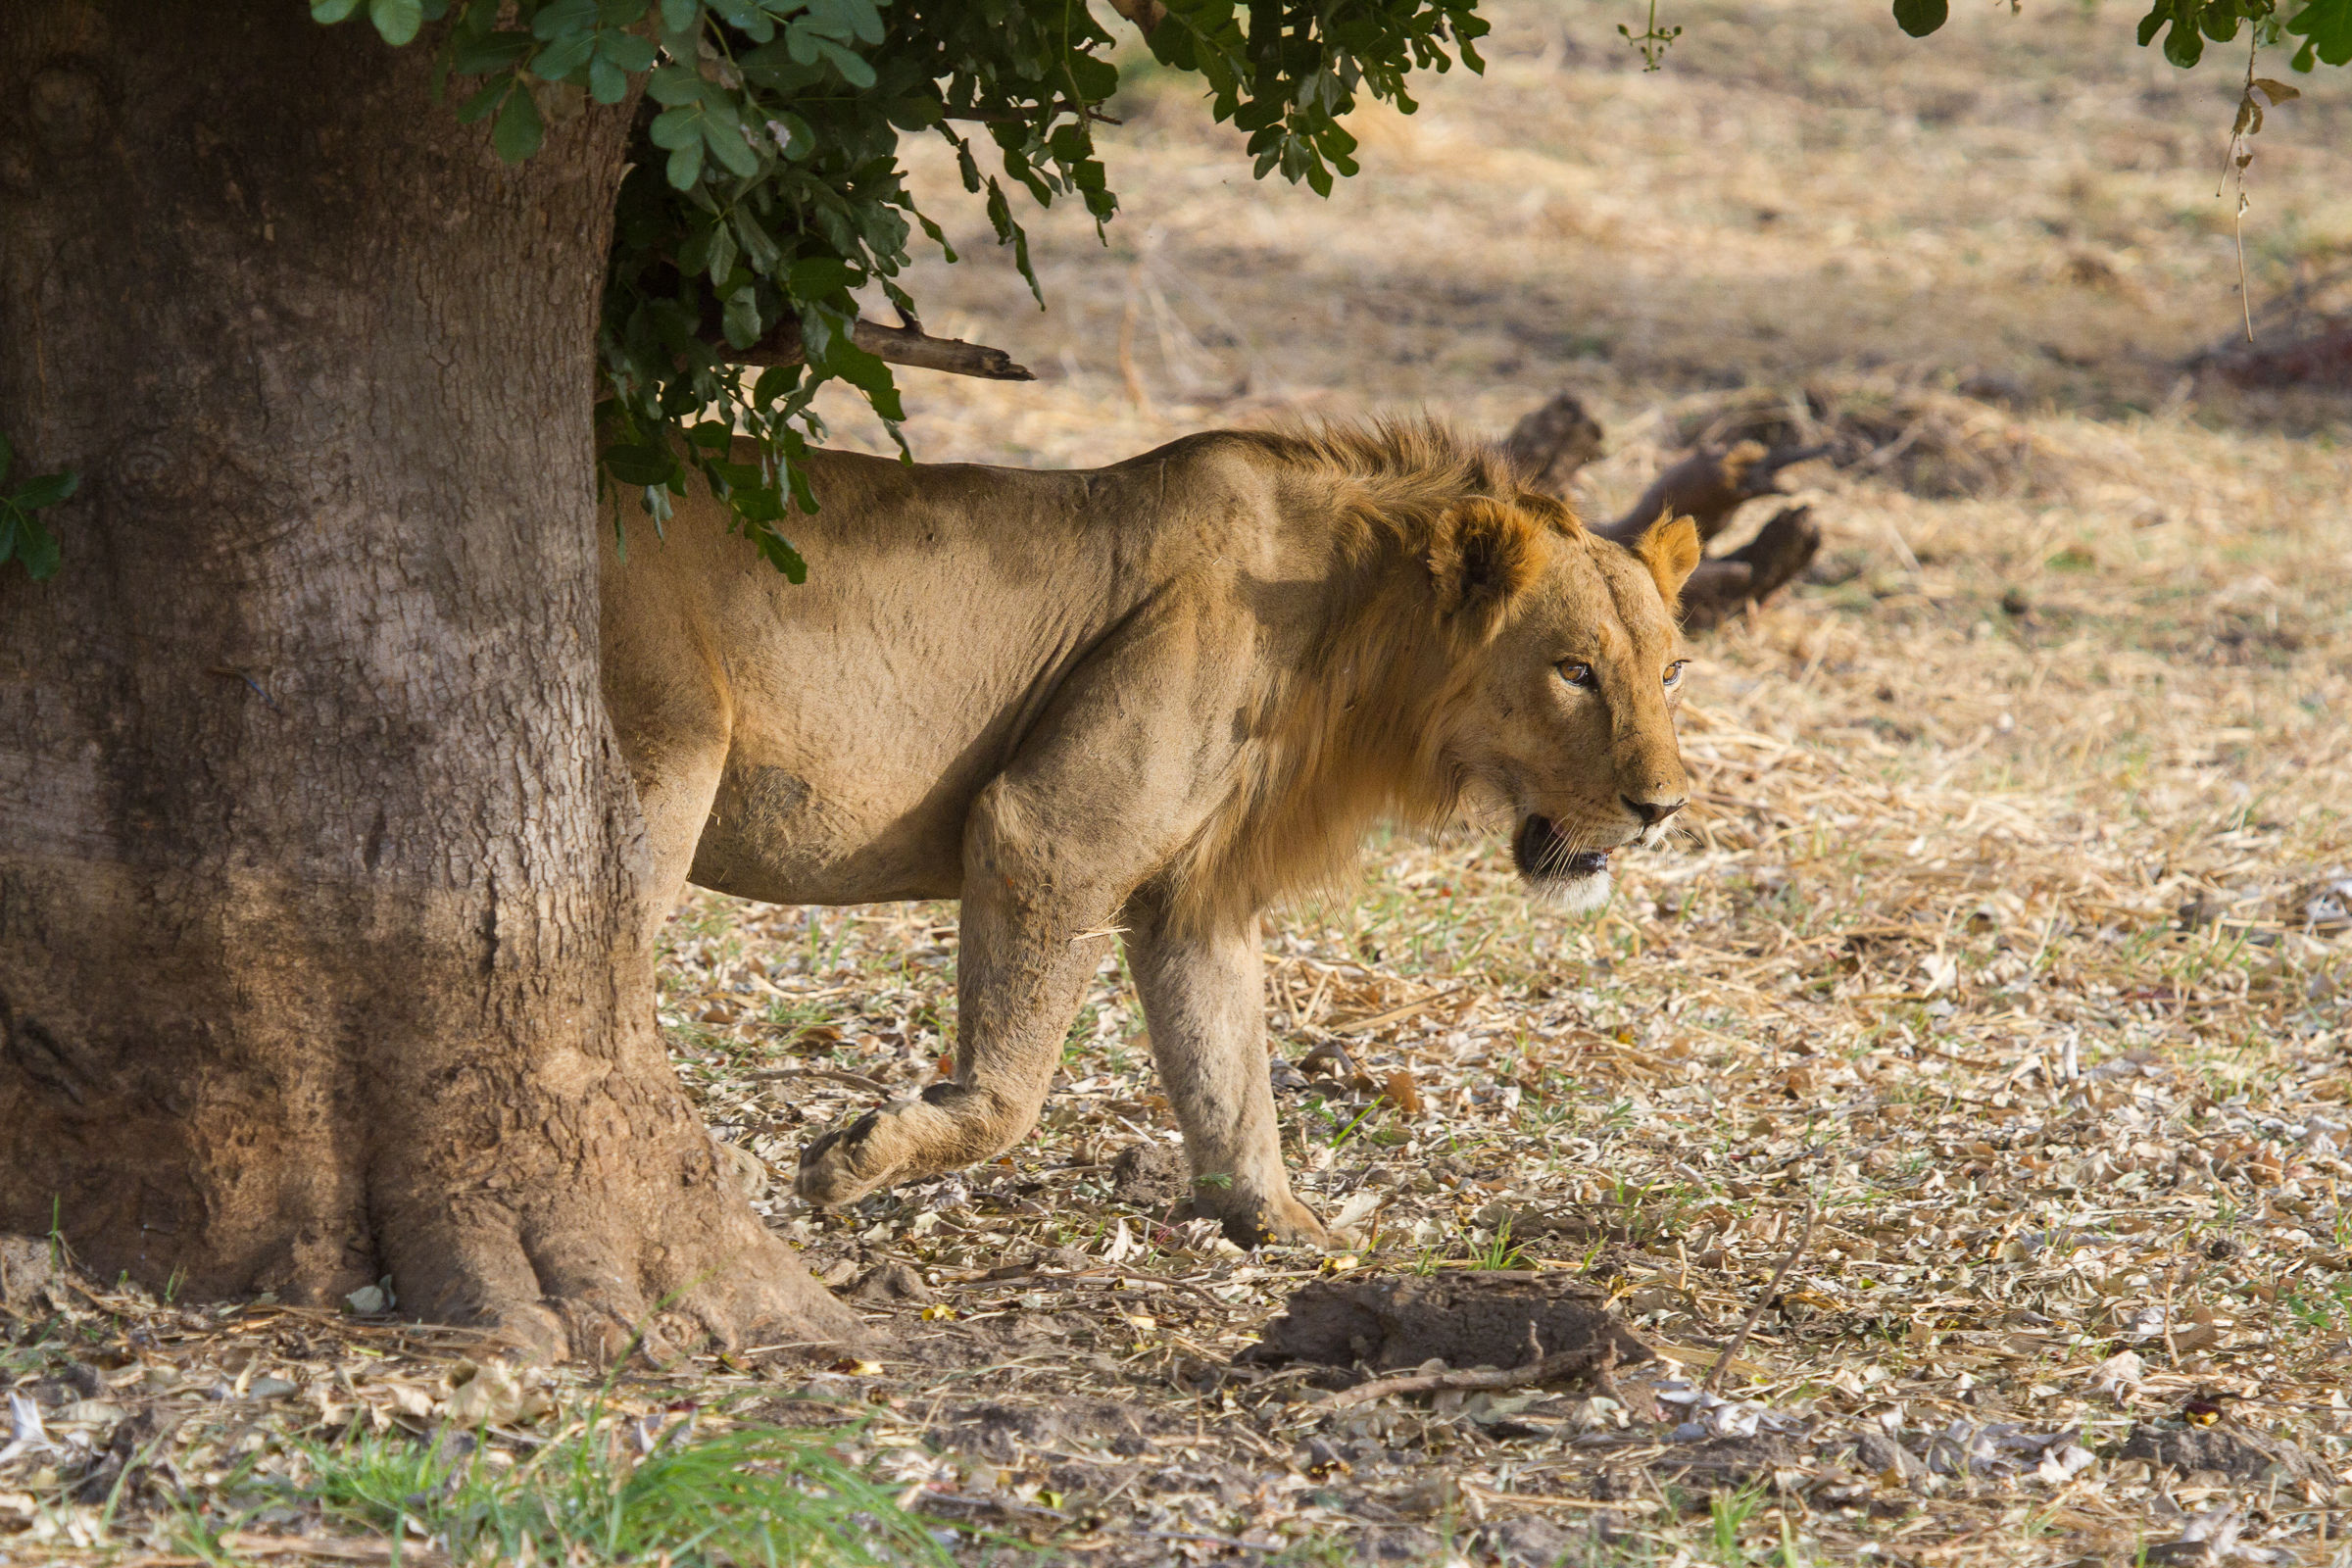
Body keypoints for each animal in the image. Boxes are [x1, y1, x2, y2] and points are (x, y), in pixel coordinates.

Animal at [600, 420, 1701, 1247]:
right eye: (1574, 671)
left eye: (1673, 670)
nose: (1664, 806)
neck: (1350, 639)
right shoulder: (1049, 829)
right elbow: (1014, 1090)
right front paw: (856, 1157)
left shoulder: (1192, 895)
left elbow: (1228, 1068)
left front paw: (1279, 1222)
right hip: (668, 753)